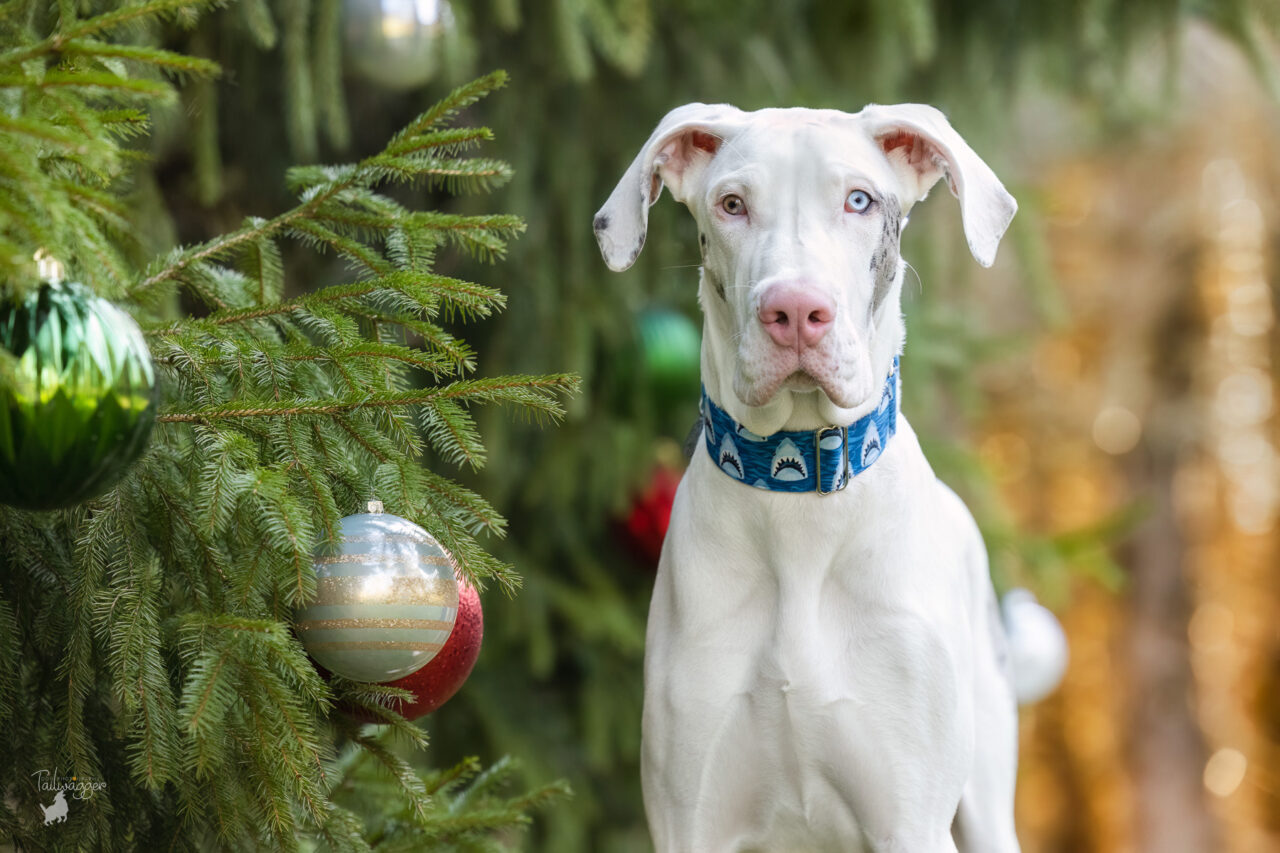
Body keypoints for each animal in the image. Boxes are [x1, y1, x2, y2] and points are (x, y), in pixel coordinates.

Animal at [593, 104, 1024, 850]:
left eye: (859, 201)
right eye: (733, 204)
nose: (795, 311)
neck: (798, 504)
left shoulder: (909, 821)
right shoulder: (689, 818)